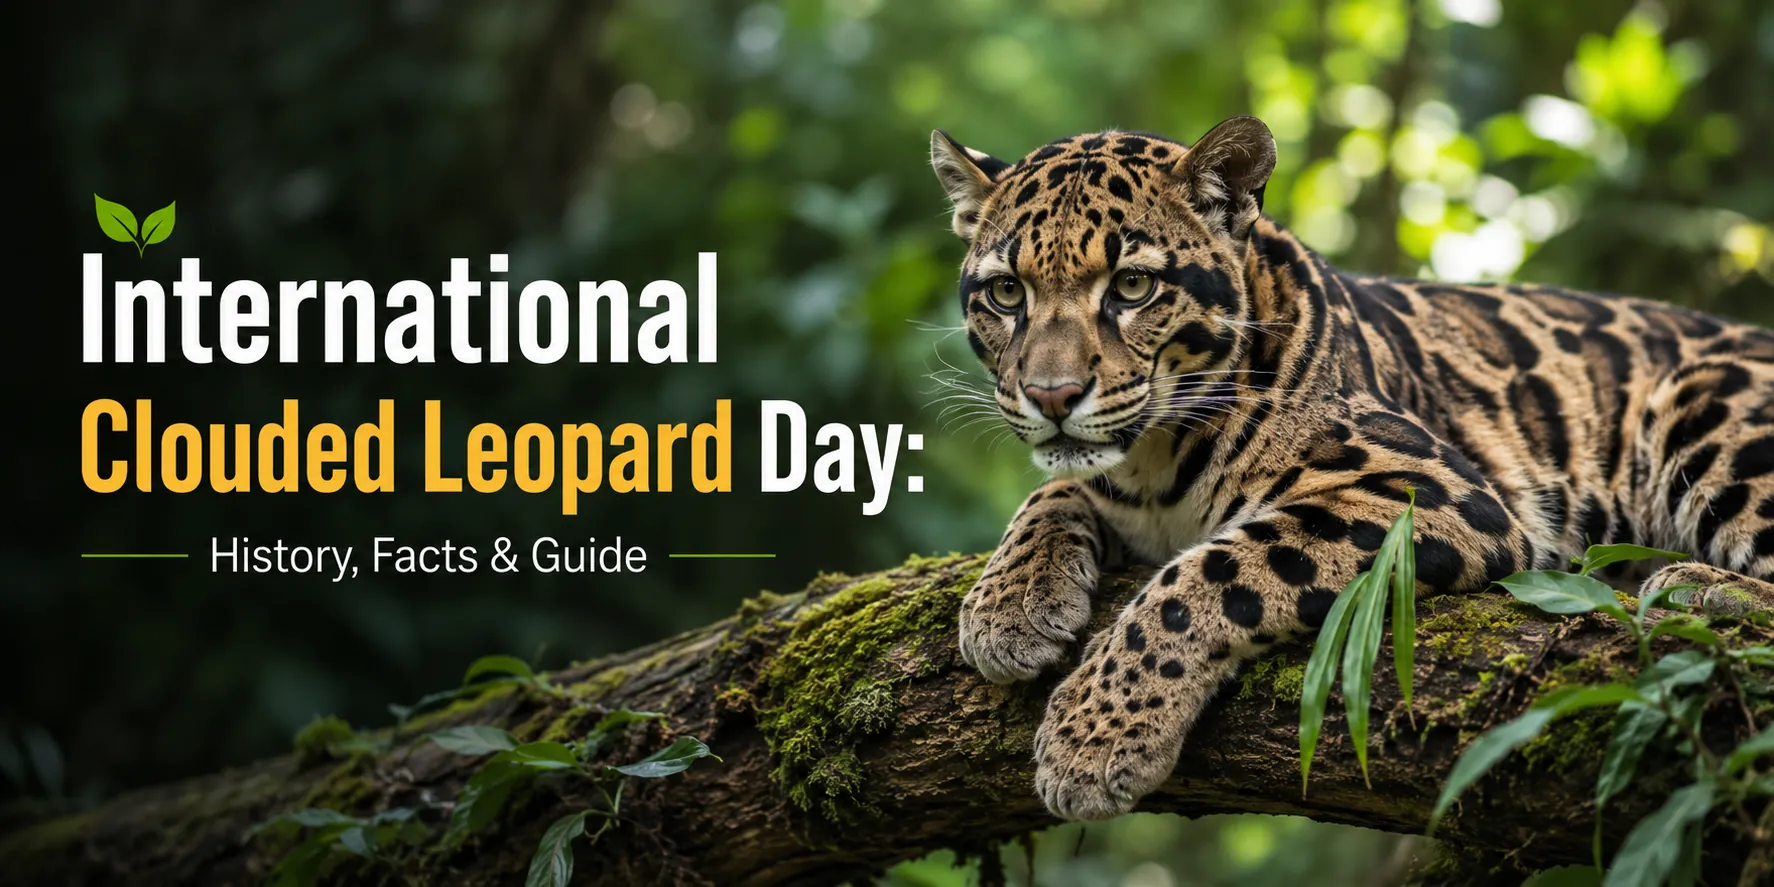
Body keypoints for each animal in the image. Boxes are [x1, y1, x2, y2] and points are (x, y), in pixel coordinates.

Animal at [929, 114, 1774, 821]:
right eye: (1006, 293)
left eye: (1133, 286)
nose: (1051, 395)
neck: (1155, 460)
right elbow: (1054, 489)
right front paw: (1008, 604)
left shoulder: (1435, 489)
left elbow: (1205, 575)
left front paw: (1093, 736)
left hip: (1705, 401)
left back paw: (1698, 584)